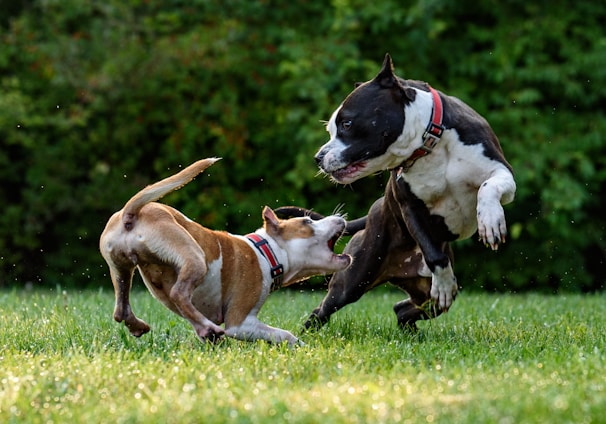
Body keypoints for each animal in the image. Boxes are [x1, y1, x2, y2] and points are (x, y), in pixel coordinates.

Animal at [100, 157, 352, 346]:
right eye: (308, 222)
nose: (340, 218)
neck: (266, 251)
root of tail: (131, 214)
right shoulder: (240, 323)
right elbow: (284, 334)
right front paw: (302, 347)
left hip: (121, 268)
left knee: (121, 309)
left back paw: (145, 326)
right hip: (194, 256)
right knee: (178, 293)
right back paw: (207, 327)